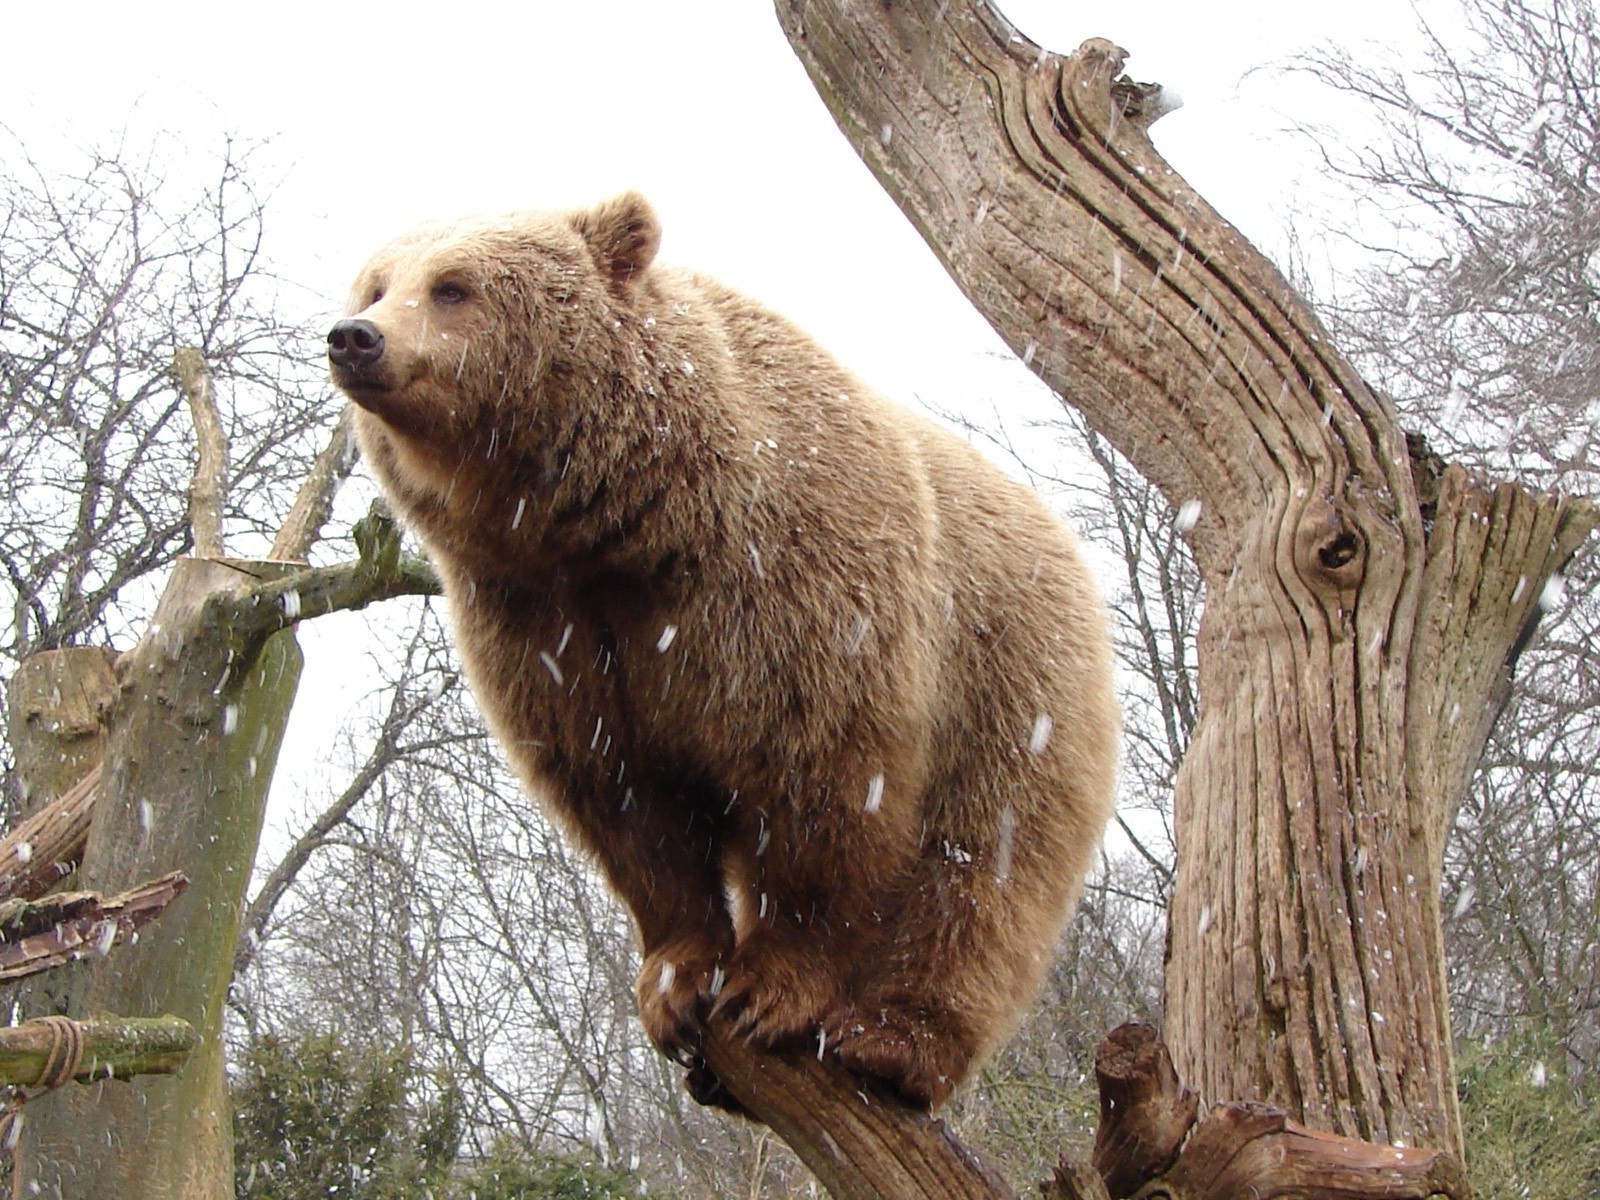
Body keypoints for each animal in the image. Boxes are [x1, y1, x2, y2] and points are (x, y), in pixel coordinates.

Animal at [328, 195, 1113, 1107]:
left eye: (453, 286)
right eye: (378, 283)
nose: (355, 336)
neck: (624, 527)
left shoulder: (792, 587)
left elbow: (825, 778)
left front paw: (769, 990)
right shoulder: (543, 628)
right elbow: (625, 803)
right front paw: (675, 981)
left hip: (1012, 674)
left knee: (986, 862)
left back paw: (896, 1039)